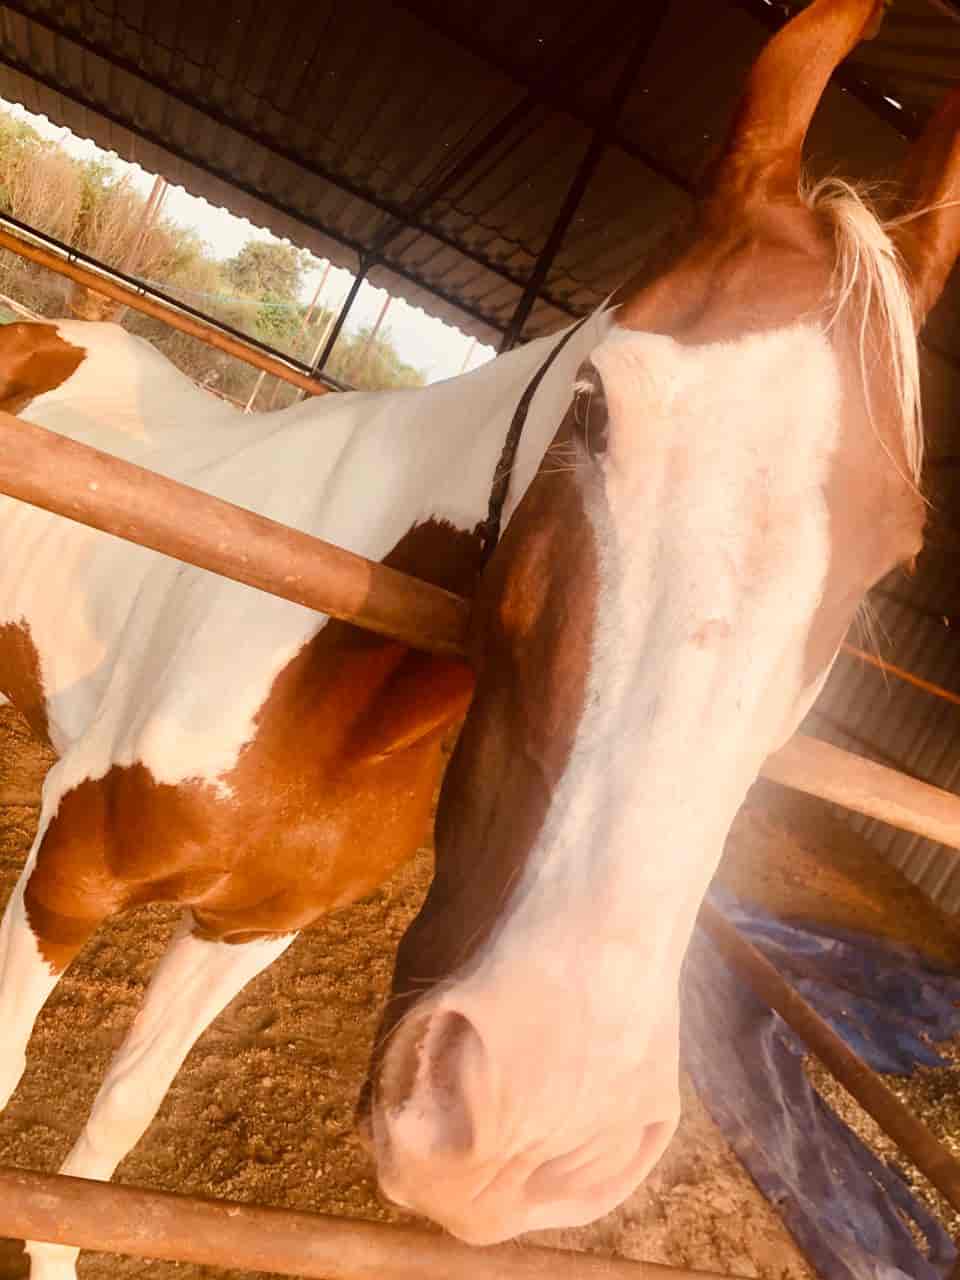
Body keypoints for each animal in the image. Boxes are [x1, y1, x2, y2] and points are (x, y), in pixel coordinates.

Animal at [2, 0, 960, 1271]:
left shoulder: (244, 929)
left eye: (897, 549)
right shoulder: (68, 878)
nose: (528, 1123)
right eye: (596, 405)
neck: (330, 688)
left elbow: (118, 1116)